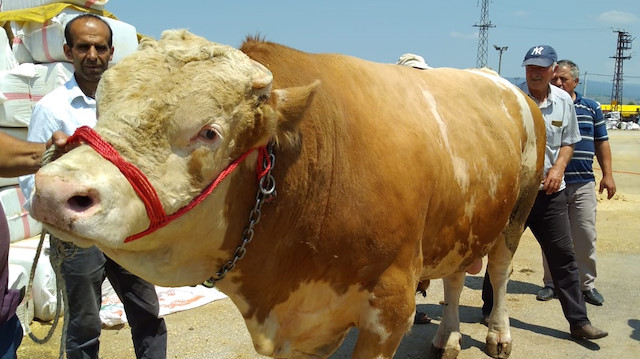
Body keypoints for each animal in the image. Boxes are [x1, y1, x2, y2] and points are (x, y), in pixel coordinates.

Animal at [28, 29, 540, 358]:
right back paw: (447, 338)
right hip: (464, 221)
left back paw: (497, 336)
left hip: (518, 212)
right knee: (455, 276)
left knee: (498, 271)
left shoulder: (391, 310)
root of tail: (503, 82)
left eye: (209, 132)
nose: (55, 190)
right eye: (100, 106)